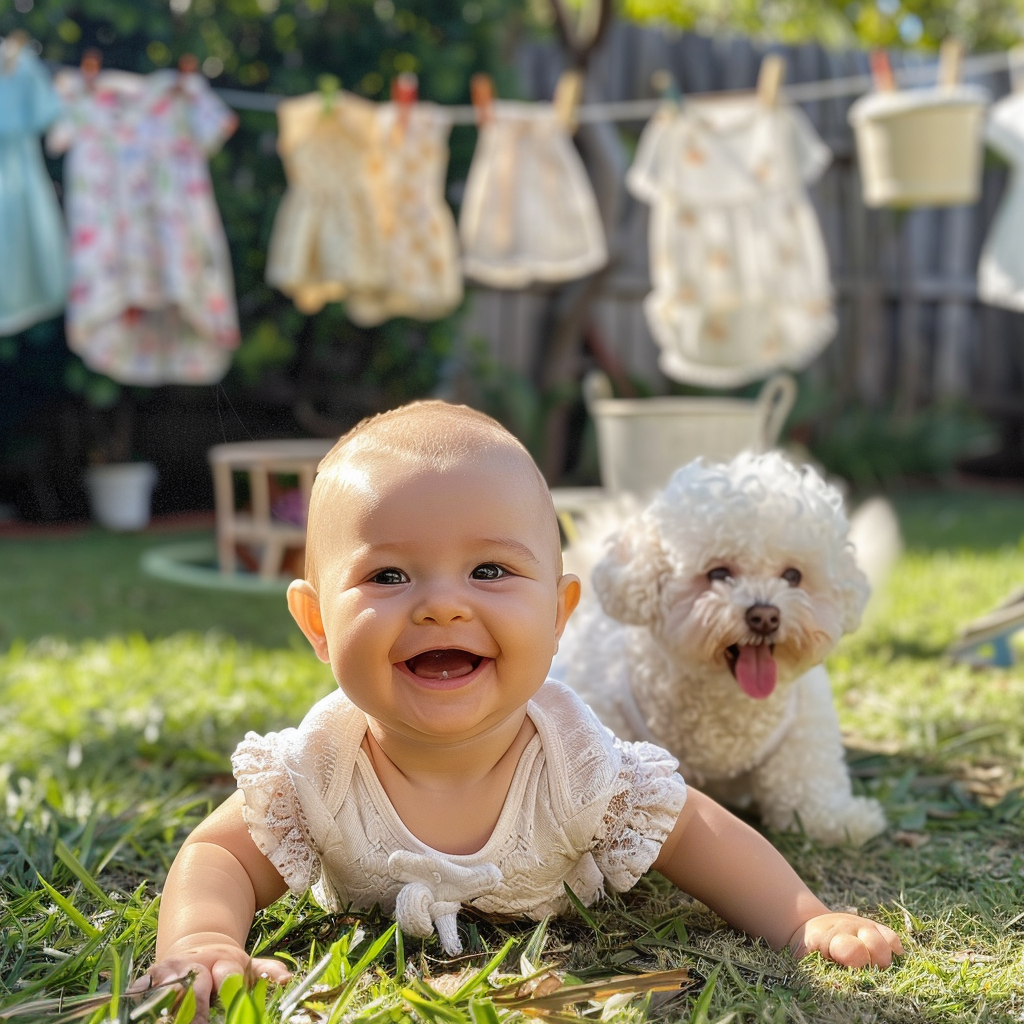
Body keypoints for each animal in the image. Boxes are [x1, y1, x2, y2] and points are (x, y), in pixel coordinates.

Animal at [552, 452, 888, 843]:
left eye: (793, 576)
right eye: (718, 573)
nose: (765, 616)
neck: (727, 702)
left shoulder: (803, 728)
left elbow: (809, 793)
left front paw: (845, 819)